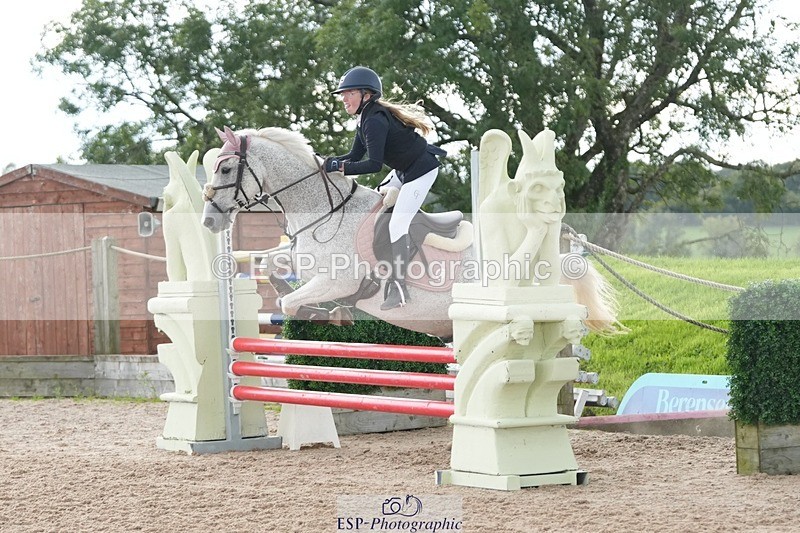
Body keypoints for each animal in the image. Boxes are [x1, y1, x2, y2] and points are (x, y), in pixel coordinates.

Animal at [201, 126, 622, 339]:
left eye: (226, 169)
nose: (209, 221)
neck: (327, 211)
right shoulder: (300, 260)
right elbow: (270, 265)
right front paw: (319, 307)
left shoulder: (336, 280)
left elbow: (292, 304)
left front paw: (330, 315)